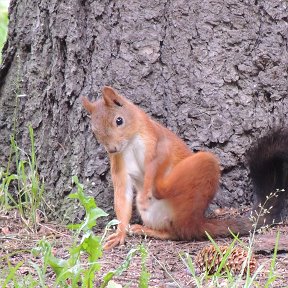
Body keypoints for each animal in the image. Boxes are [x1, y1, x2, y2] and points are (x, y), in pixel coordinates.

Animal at [81, 86, 288, 250]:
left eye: (119, 120)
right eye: (94, 131)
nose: (112, 148)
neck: (130, 142)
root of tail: (196, 221)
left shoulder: (156, 141)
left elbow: (155, 165)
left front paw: (147, 187)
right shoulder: (118, 161)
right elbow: (122, 195)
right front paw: (120, 233)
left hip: (198, 176)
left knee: (177, 223)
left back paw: (155, 188)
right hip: (156, 216)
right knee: (173, 233)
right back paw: (144, 228)